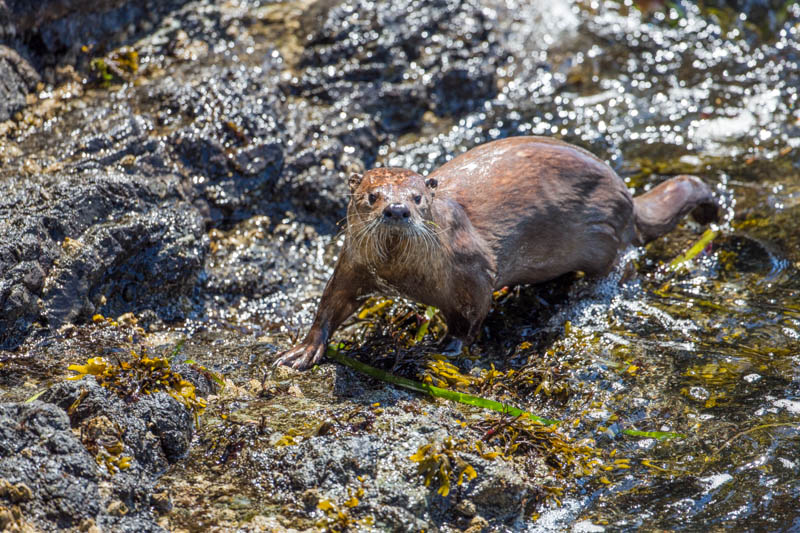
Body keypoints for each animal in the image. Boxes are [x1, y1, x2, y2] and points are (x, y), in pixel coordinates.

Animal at [276, 137, 720, 368]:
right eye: (372, 196)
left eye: (418, 198)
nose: (397, 208)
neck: (404, 276)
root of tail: (627, 195)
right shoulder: (353, 263)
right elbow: (331, 304)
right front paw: (304, 350)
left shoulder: (472, 269)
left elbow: (471, 316)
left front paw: (446, 347)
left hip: (607, 234)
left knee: (621, 264)